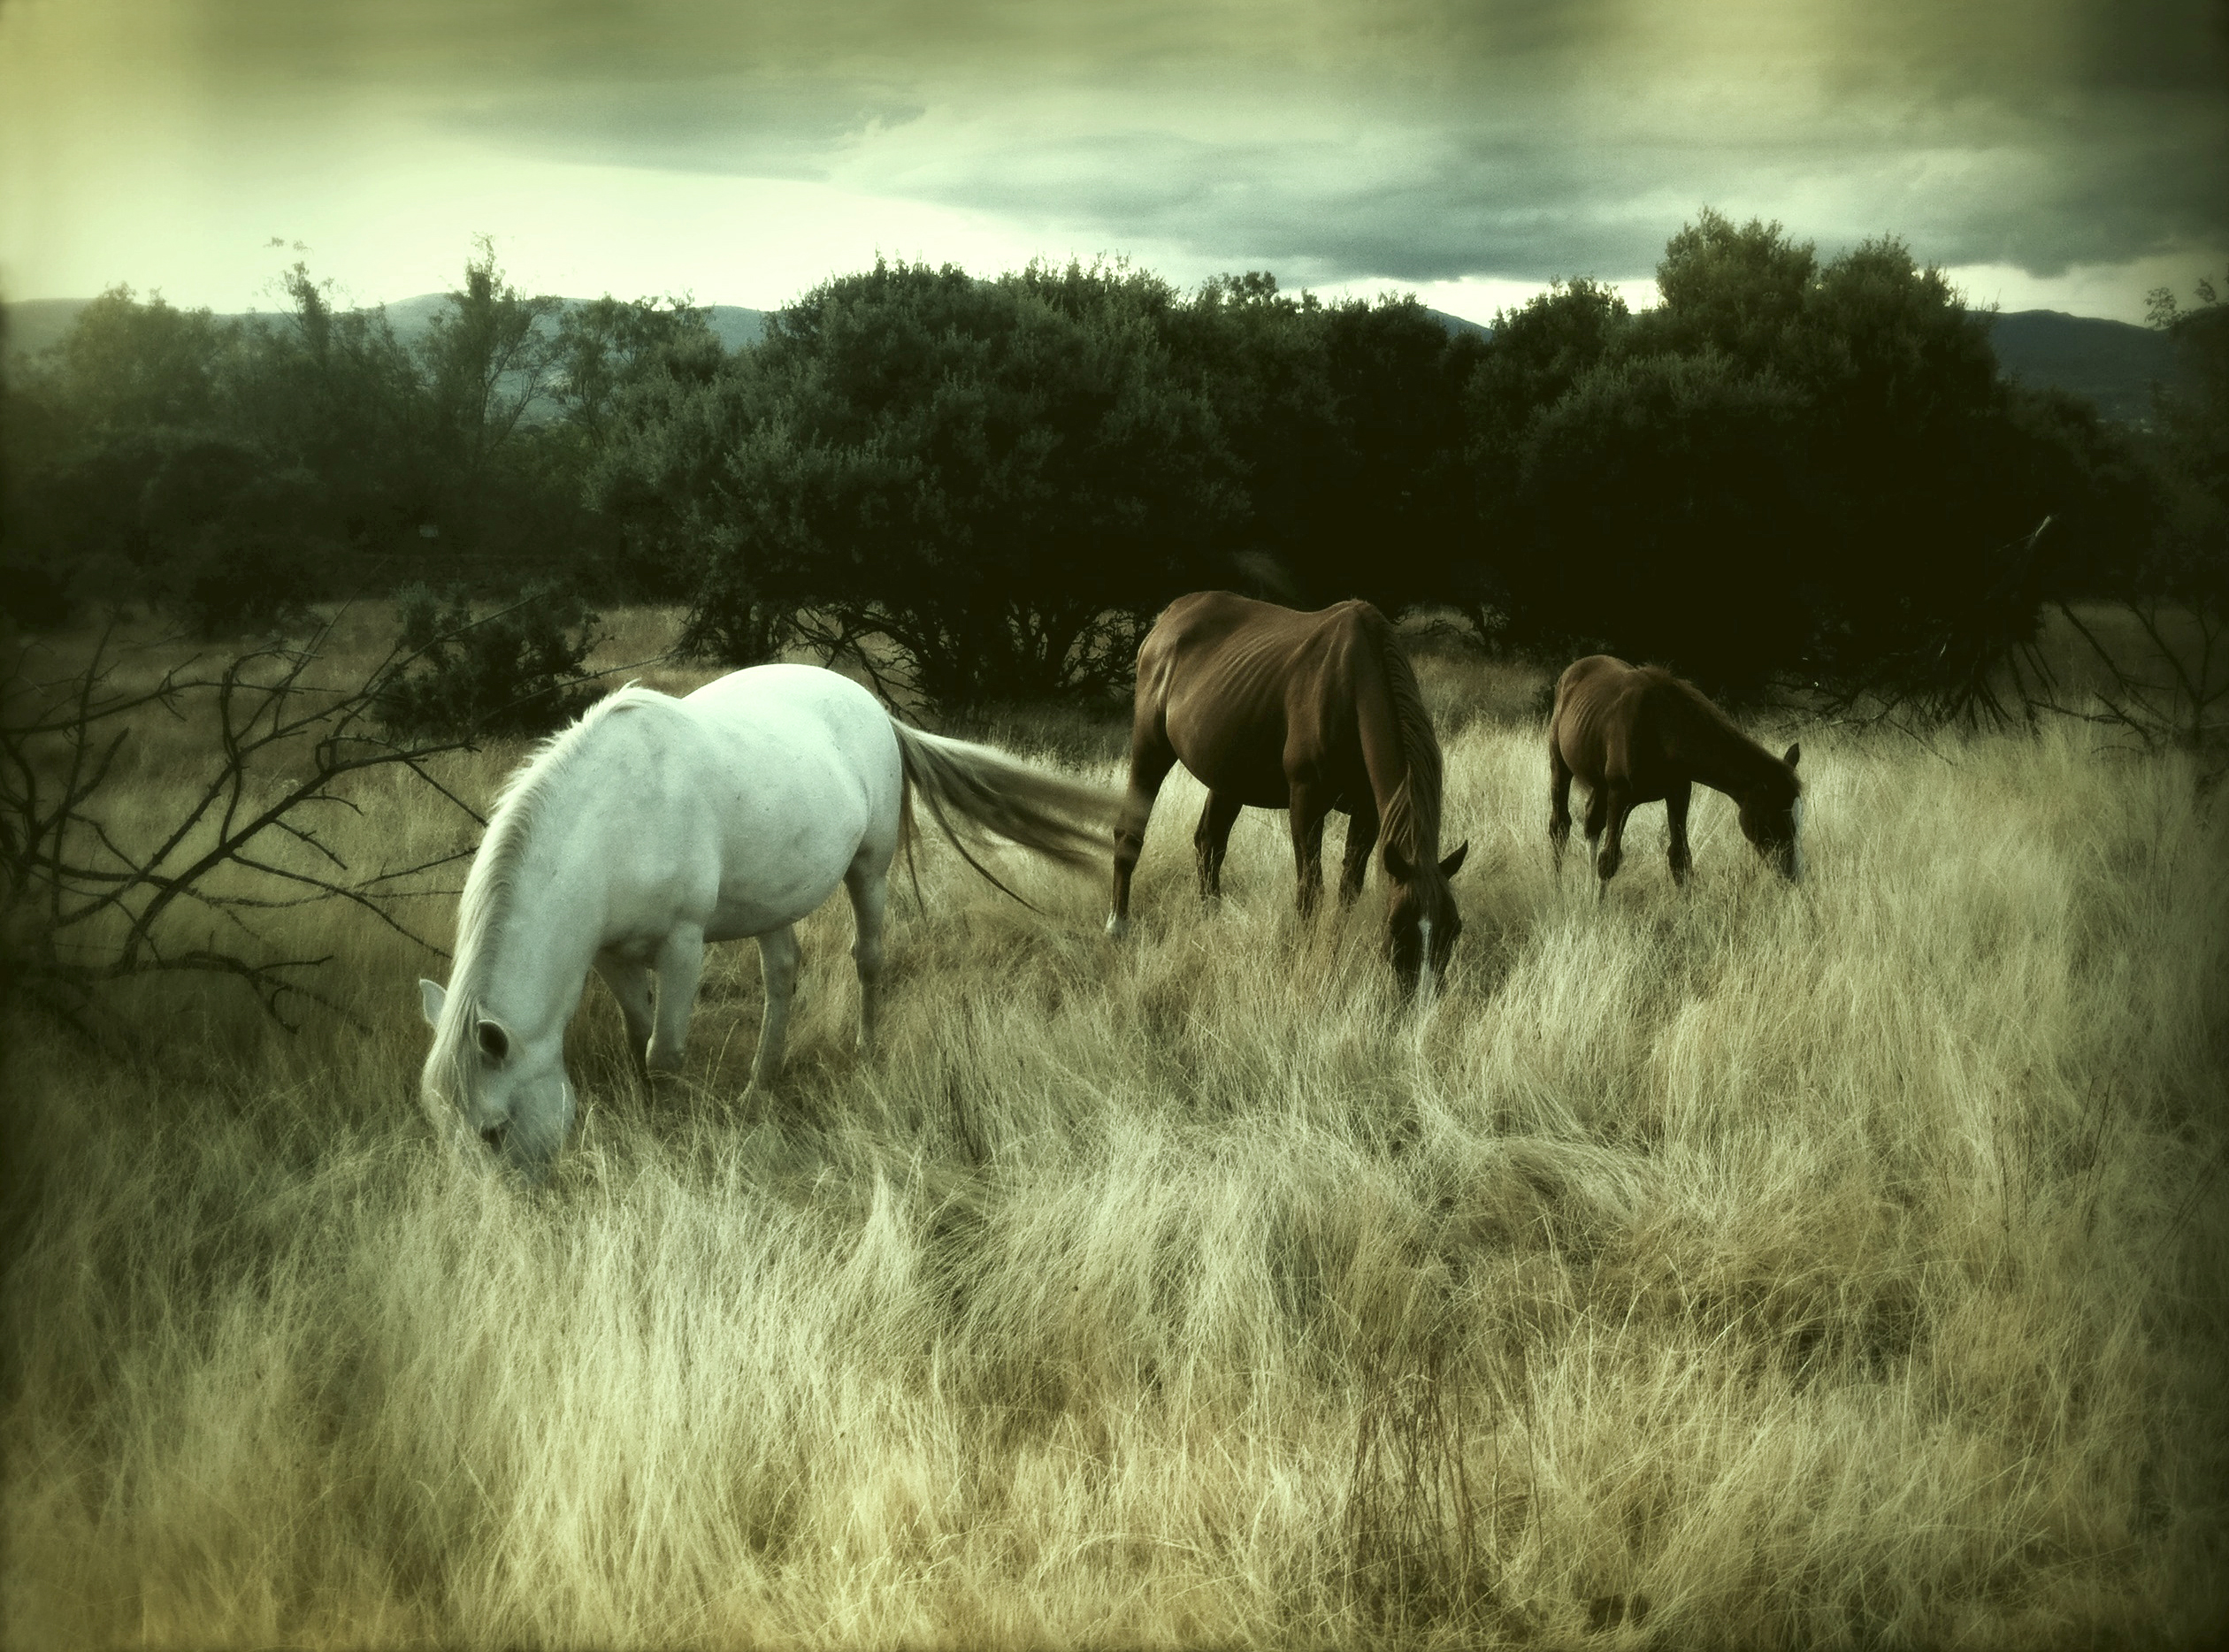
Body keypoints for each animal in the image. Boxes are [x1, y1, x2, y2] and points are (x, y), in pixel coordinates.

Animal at [414, 664, 1114, 1177]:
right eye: (444, 1131)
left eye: (494, 1131)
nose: (511, 1225)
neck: (614, 821)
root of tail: (869, 703)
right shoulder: (611, 956)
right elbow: (639, 1039)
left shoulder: (683, 942)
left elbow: (664, 1052)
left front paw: (670, 1136)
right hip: (774, 899)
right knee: (782, 977)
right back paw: (760, 1085)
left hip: (870, 870)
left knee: (869, 960)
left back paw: (865, 1049)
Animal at [1109, 593, 1462, 994]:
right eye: (1398, 927)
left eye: (1454, 929)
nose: (1423, 999)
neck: (1351, 682)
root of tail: (1170, 616)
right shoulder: (1306, 802)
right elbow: (1310, 891)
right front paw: (1305, 963)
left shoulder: (1368, 813)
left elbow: (1348, 890)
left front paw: (1332, 956)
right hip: (1150, 749)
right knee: (1130, 833)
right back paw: (1118, 925)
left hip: (1228, 776)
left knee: (1209, 843)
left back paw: (1211, 919)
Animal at [1560, 651, 1801, 896]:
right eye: (1770, 817)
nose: (1790, 873)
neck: (1659, 725)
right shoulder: (1619, 795)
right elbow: (1608, 860)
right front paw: (1597, 904)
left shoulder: (1678, 793)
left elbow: (1680, 858)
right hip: (1562, 766)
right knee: (1560, 825)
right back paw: (1557, 882)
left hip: (1601, 784)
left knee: (1592, 822)